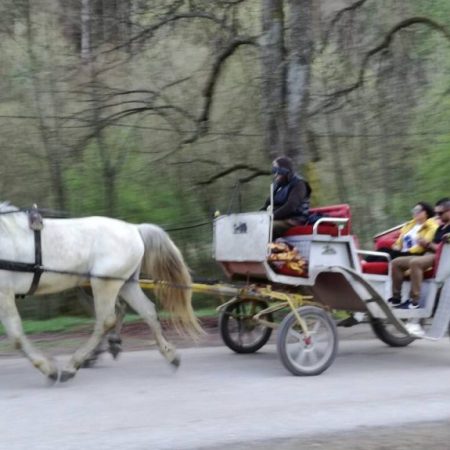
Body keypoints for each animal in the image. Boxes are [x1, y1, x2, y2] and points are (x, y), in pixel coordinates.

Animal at [0, 202, 201, 382]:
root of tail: (134, 228)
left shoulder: (4, 292)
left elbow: (16, 335)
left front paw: (48, 368)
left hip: (103, 283)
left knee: (106, 321)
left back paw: (73, 365)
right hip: (126, 284)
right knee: (148, 311)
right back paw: (170, 355)